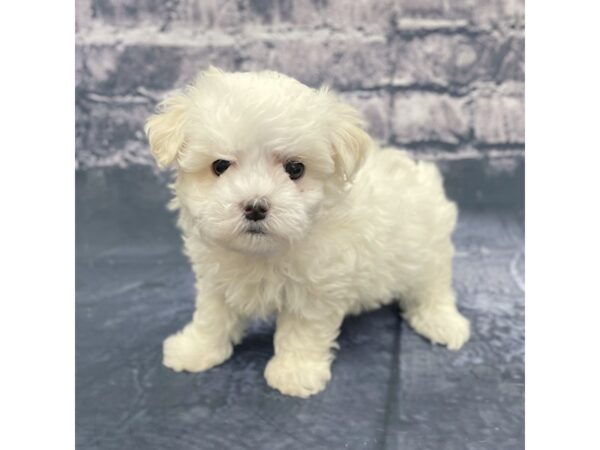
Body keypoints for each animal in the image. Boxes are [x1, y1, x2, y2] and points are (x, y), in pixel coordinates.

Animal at [144, 67, 468, 398]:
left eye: (295, 168)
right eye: (220, 165)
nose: (255, 207)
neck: (261, 252)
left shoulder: (317, 288)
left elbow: (302, 330)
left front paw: (294, 372)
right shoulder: (216, 279)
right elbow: (212, 315)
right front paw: (196, 349)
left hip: (426, 250)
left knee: (433, 287)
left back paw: (443, 322)